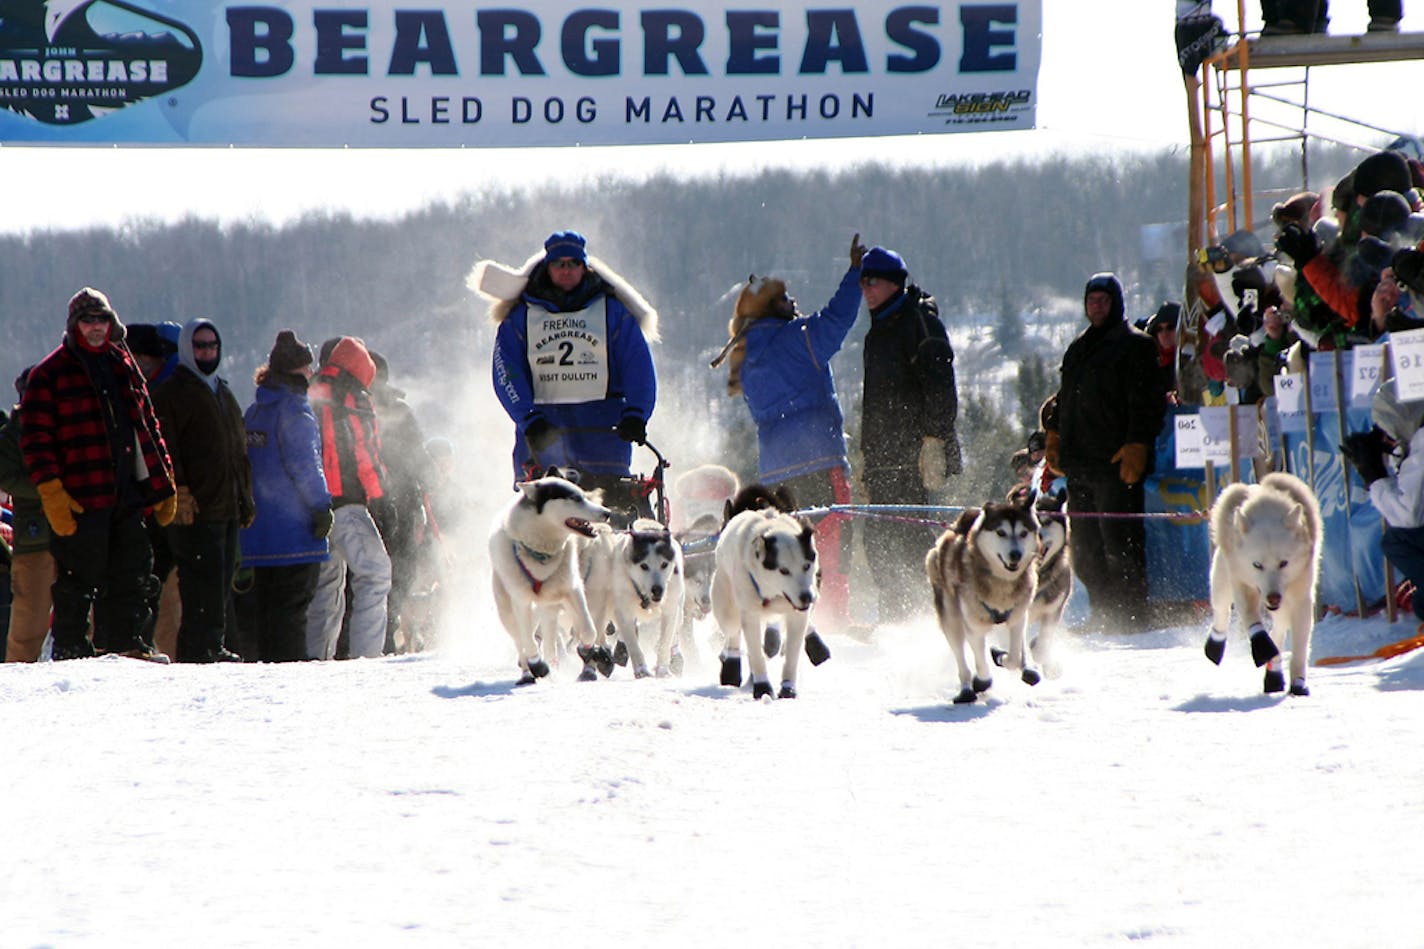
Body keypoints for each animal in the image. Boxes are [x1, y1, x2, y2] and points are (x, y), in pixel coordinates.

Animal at [489, 475, 612, 683]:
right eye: (574, 498)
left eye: (583, 494)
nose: (607, 512)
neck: (541, 556)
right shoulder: (521, 601)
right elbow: (528, 642)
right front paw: (537, 664)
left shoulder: (573, 590)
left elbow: (589, 629)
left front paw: (589, 650)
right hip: (508, 611)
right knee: (521, 640)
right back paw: (527, 672)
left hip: (549, 608)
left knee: (550, 640)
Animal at [580, 521, 686, 675]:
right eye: (644, 565)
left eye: (664, 564)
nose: (657, 590)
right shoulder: (623, 611)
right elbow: (632, 642)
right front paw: (642, 669)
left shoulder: (670, 609)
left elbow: (665, 640)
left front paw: (662, 669)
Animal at [717, 487, 820, 695]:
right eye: (784, 570)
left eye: (806, 566)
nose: (807, 598)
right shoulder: (750, 613)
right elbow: (755, 654)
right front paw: (762, 688)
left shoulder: (797, 613)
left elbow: (792, 653)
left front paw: (788, 688)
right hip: (726, 608)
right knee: (733, 630)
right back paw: (732, 663)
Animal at [922, 495, 1048, 701]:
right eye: (1001, 532)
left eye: (1023, 533)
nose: (1015, 554)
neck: (1001, 583)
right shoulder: (974, 626)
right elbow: (980, 662)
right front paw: (982, 680)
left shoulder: (1018, 617)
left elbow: (1013, 657)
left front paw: (1003, 656)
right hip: (951, 618)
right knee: (960, 656)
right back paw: (966, 688)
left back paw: (1027, 667)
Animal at [1201, 470, 1321, 692]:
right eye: (1257, 565)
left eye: (1284, 563)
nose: (1273, 597)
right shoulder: (1242, 583)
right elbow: (1252, 619)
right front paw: (1262, 646)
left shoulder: (1300, 597)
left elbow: (1300, 644)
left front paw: (1298, 682)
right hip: (1222, 580)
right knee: (1221, 611)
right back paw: (1215, 645)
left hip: (1284, 605)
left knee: (1279, 630)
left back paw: (1274, 674)